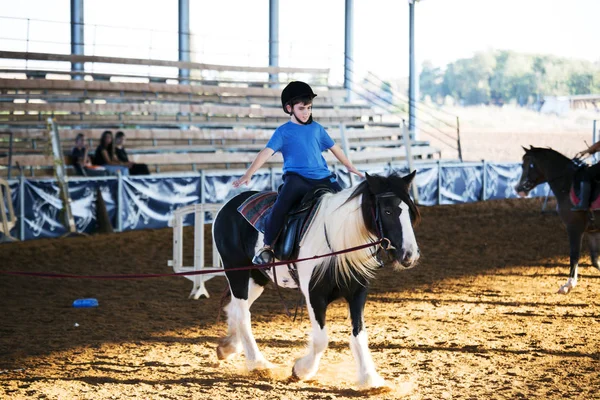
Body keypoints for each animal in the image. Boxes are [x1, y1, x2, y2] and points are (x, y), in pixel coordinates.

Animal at [213, 173, 420, 390]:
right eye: (387, 211)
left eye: (410, 212)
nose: (410, 255)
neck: (340, 242)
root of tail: (230, 204)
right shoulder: (314, 295)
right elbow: (321, 339)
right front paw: (301, 370)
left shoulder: (357, 293)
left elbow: (359, 335)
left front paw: (370, 378)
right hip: (237, 272)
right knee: (243, 314)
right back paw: (258, 363)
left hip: (257, 278)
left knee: (235, 308)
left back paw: (229, 347)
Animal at [512, 147, 600, 294]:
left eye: (528, 165)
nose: (519, 189)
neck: (567, 183)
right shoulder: (592, 231)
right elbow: (595, 259)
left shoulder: (574, 228)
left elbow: (574, 254)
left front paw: (568, 285)